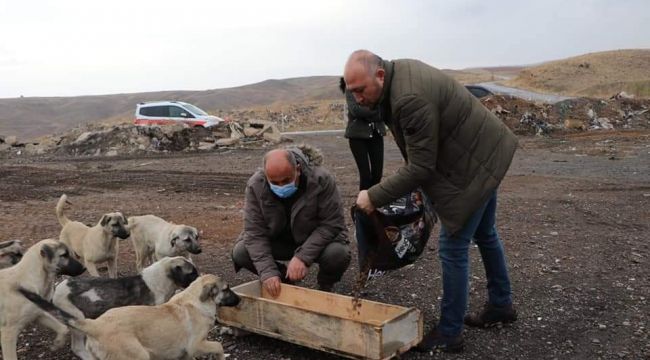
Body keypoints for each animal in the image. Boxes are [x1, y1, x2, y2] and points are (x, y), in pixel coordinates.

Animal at [22, 274, 242, 358]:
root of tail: (95, 325)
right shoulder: (196, 344)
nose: (240, 299)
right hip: (138, 355)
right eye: (226, 289)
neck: (195, 299)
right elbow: (219, 346)